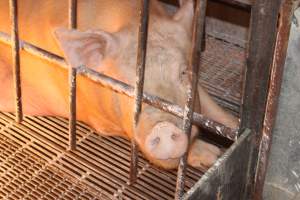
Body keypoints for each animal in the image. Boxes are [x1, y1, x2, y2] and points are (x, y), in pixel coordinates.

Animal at [0, 0, 239, 170]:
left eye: (183, 72)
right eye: (126, 85)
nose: (163, 126)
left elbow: (214, 111)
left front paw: (229, 134)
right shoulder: (98, 119)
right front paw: (211, 155)